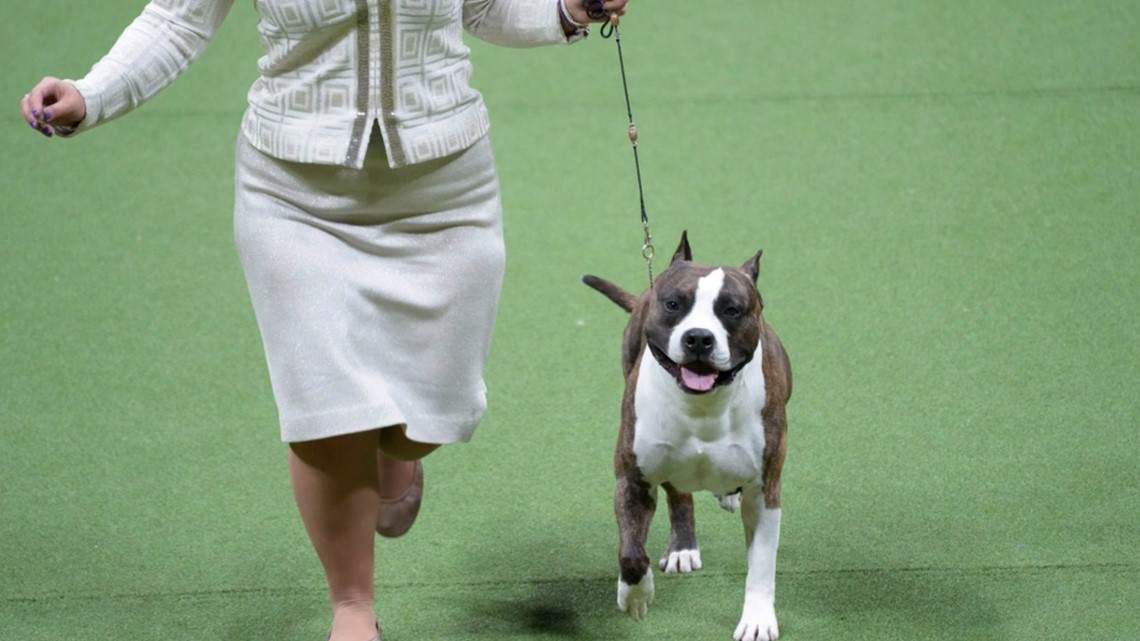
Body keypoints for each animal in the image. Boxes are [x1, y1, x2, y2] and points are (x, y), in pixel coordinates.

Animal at [583, 230, 788, 638]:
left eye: (732, 310)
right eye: (674, 304)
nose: (698, 338)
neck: (703, 404)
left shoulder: (765, 490)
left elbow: (761, 564)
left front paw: (757, 619)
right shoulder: (633, 480)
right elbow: (631, 552)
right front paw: (635, 594)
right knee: (679, 496)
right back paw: (682, 548)